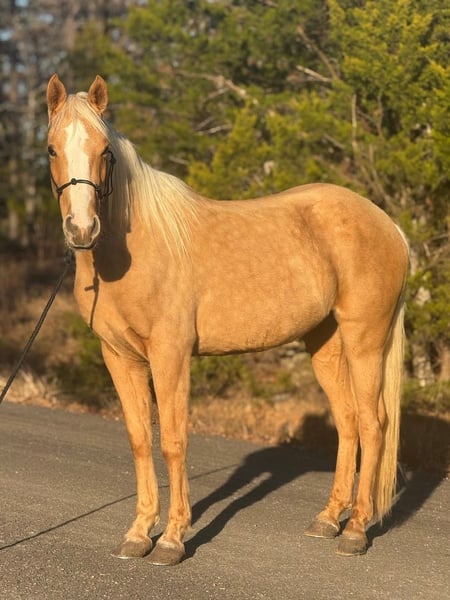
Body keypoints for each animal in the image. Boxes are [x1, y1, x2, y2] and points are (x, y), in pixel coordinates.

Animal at [46, 74, 409, 565]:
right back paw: (328, 519)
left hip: (365, 340)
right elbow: (140, 439)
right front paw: (138, 533)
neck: (137, 246)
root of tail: (390, 226)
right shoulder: (119, 357)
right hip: (326, 343)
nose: (82, 230)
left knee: (373, 423)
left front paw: (172, 539)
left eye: (105, 151)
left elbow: (173, 441)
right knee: (349, 421)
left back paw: (354, 532)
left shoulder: (171, 355)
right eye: (51, 149)